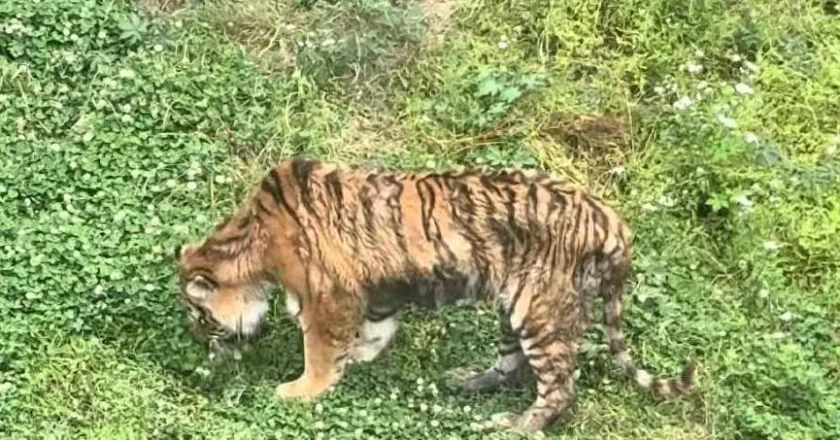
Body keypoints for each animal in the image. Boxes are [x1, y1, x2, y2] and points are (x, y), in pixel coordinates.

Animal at [174, 159, 694, 434]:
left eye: (200, 318)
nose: (201, 346)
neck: (253, 244)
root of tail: (614, 224)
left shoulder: (328, 297)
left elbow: (320, 351)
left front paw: (300, 390)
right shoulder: (375, 289)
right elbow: (376, 329)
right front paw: (360, 358)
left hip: (539, 310)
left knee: (561, 388)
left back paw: (513, 425)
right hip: (514, 307)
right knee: (512, 365)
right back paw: (466, 382)